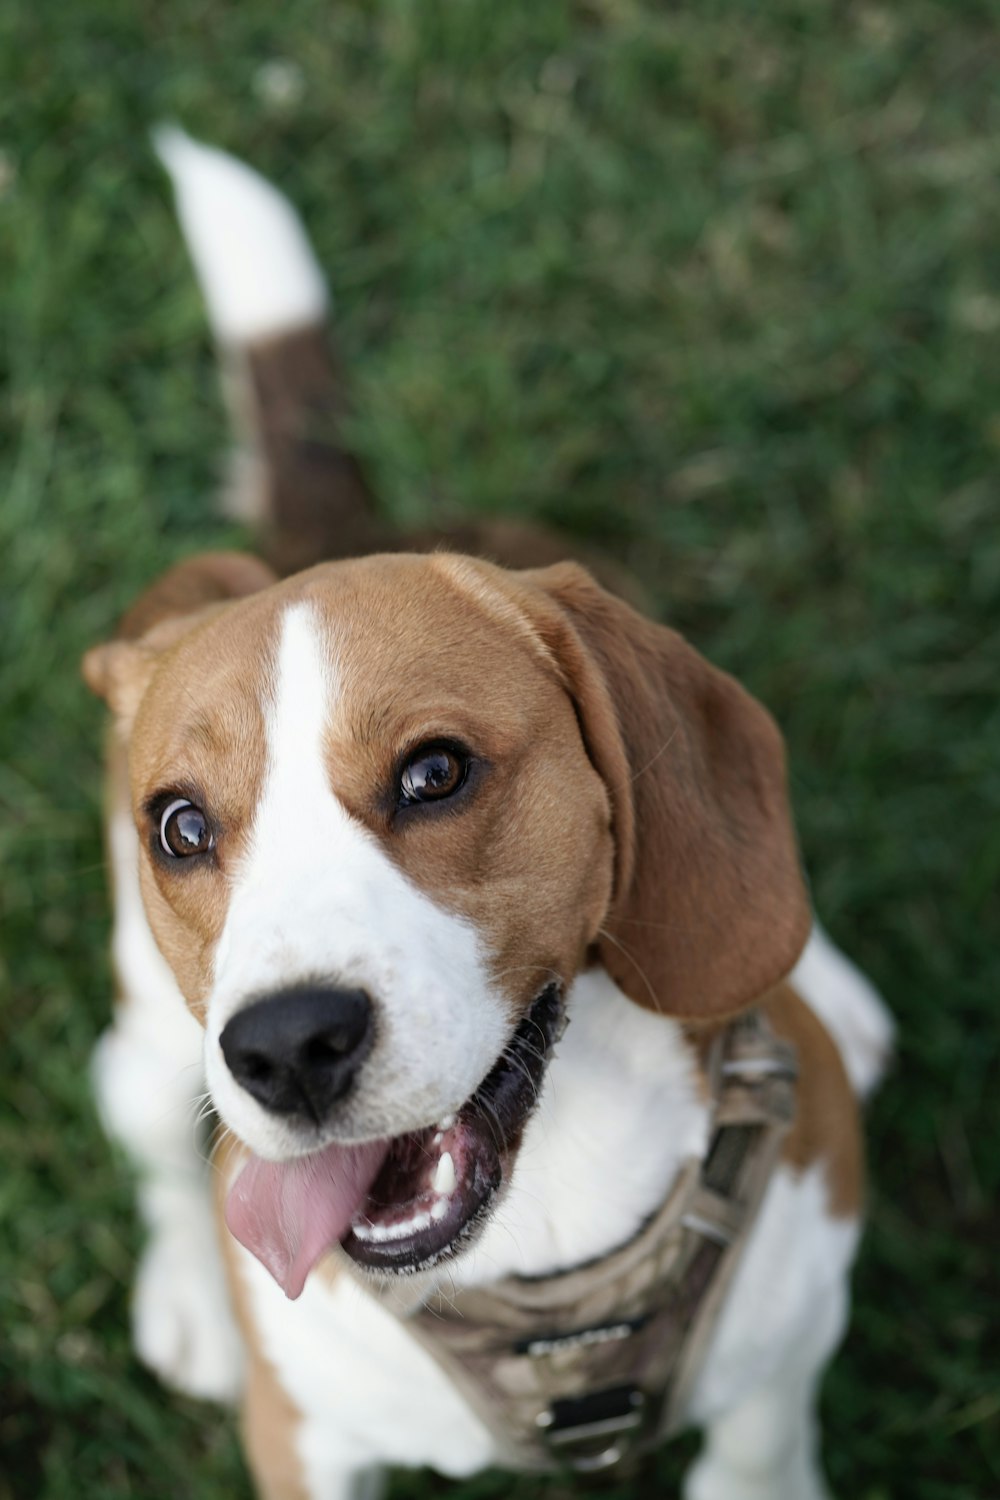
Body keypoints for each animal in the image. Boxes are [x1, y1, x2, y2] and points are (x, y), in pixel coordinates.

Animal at [86, 135, 893, 1500]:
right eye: (181, 829)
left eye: (435, 773)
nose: (285, 1049)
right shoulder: (304, 1439)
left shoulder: (777, 1369)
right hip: (154, 1048)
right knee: (143, 1126)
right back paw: (190, 1295)